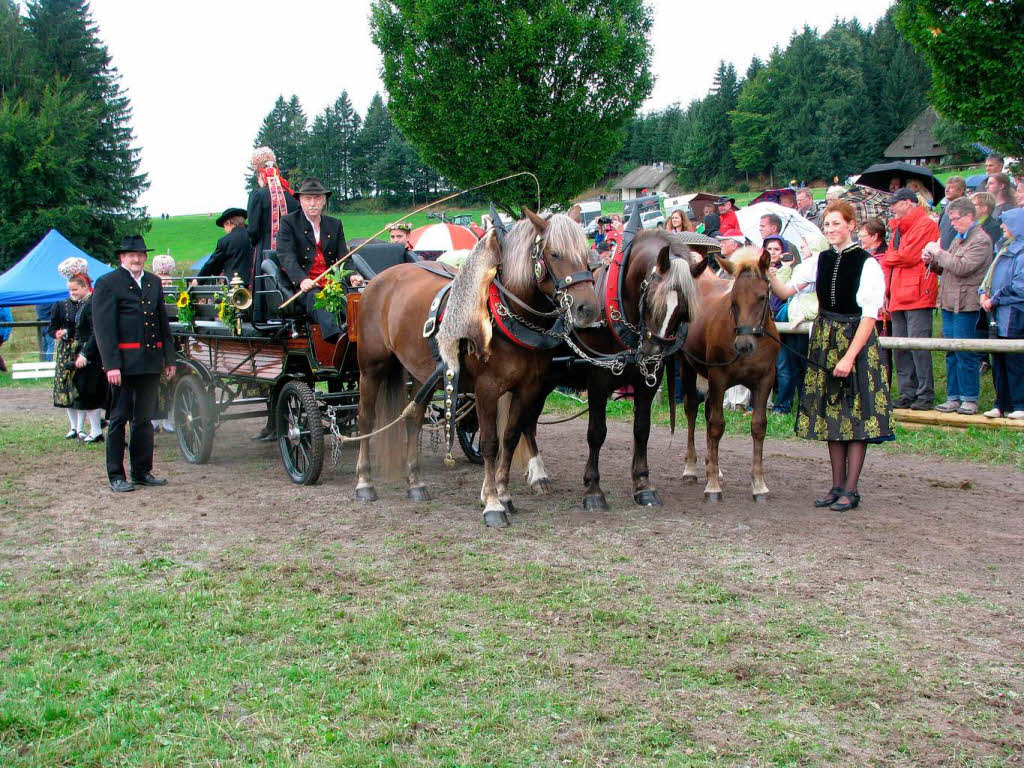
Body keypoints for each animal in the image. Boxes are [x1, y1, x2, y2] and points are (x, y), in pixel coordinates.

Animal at [354, 207, 598, 528]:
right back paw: (364, 483)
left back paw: (415, 483)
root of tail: (377, 281)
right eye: (555, 253)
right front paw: (493, 503)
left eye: (586, 253)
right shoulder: (487, 390)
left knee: (413, 421)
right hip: (371, 367)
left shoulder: (528, 388)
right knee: (366, 420)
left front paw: (505, 495)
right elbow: (490, 443)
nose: (588, 309)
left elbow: (510, 437)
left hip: (421, 373)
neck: (506, 314)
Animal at [516, 231, 708, 514]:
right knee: (527, 421)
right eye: (651, 299)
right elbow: (597, 433)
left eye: (683, 311)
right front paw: (593, 490)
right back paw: (539, 474)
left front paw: (643, 484)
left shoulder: (648, 383)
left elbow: (642, 429)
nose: (652, 353)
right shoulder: (598, 379)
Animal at [675, 244, 778, 499]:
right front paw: (712, 485)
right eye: (733, 300)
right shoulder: (719, 378)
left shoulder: (765, 381)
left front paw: (759, 484)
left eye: (762, 297)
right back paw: (691, 468)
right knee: (692, 409)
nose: (744, 345)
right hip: (687, 366)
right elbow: (717, 426)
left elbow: (758, 426)